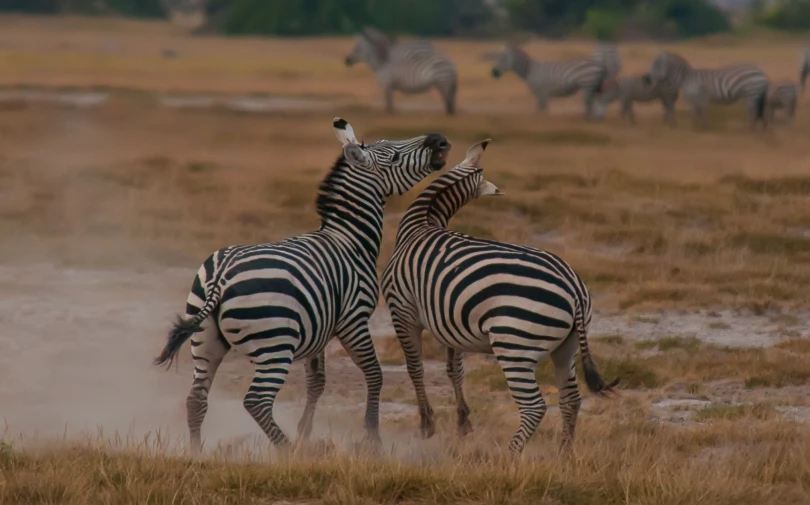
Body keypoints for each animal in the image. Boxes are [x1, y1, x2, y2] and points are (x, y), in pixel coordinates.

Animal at [155, 117, 452, 452]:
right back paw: (288, 452)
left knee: (196, 399)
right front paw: (373, 438)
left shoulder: (318, 330)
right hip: (274, 344)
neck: (349, 239)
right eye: (395, 156)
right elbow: (374, 374)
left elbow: (317, 383)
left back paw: (197, 453)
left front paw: (305, 432)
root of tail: (222, 275)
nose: (440, 140)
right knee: (256, 401)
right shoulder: (353, 319)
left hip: (205, 339)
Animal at [382, 140, 616, 454]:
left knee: (534, 407)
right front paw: (463, 422)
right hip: (566, 347)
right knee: (571, 399)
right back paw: (563, 454)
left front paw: (427, 424)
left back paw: (509, 455)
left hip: (515, 345)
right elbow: (454, 370)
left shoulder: (402, 311)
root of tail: (573, 288)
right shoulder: (448, 323)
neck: (423, 223)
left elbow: (415, 368)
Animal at [640, 50, 768, 130]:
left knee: (752, 111)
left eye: (657, 65)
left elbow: (699, 113)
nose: (646, 79)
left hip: (751, 93)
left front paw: (699, 129)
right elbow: (699, 113)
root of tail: (761, 71)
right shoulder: (697, 99)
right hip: (751, 95)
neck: (686, 78)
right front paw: (699, 128)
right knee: (753, 112)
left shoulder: (698, 97)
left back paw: (750, 130)